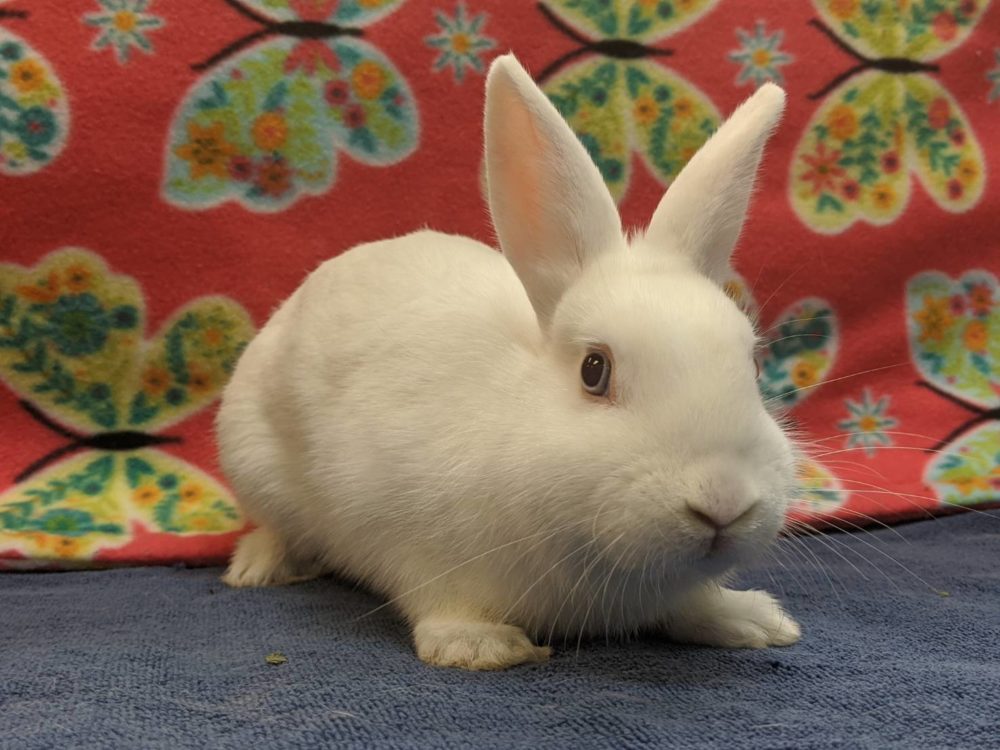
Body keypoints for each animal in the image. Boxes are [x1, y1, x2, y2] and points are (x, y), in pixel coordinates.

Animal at [216, 53, 801, 671]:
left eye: (753, 366)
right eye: (595, 370)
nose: (724, 502)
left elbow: (693, 606)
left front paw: (752, 620)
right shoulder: (409, 537)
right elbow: (442, 600)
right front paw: (480, 646)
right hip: (254, 462)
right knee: (276, 525)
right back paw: (257, 567)